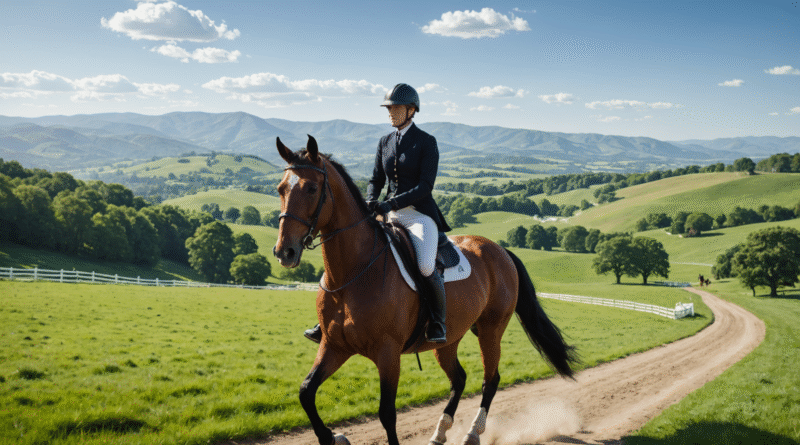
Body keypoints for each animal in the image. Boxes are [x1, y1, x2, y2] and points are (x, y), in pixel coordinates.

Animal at [273, 136, 577, 445]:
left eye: (312, 188)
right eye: (281, 189)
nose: (285, 252)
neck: (351, 275)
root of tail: (501, 250)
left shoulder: (388, 354)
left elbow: (387, 413)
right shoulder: (333, 345)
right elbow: (306, 391)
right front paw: (334, 437)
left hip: (491, 331)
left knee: (490, 380)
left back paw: (472, 433)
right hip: (448, 339)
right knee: (459, 379)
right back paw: (440, 432)